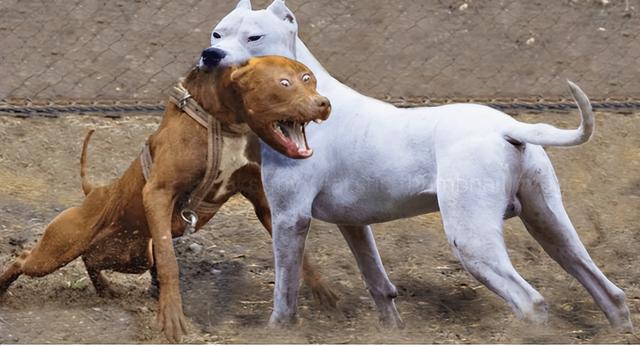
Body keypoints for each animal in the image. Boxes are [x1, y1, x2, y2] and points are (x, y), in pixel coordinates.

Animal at [1, 55, 336, 342]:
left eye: (309, 79)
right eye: (284, 83)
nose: (324, 103)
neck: (225, 123)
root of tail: (94, 190)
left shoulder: (261, 202)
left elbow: (299, 253)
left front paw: (324, 291)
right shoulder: (159, 193)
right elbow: (168, 261)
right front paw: (172, 316)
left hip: (130, 255)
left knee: (91, 259)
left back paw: (105, 290)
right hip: (59, 249)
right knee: (25, 258)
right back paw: (4, 288)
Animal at [206, 0, 636, 330]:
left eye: (254, 37)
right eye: (217, 34)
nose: (211, 56)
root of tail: (506, 126)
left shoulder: (289, 219)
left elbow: (286, 289)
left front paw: (277, 330)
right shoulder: (354, 225)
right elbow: (378, 283)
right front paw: (391, 331)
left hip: (472, 239)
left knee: (530, 302)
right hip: (551, 226)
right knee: (609, 291)